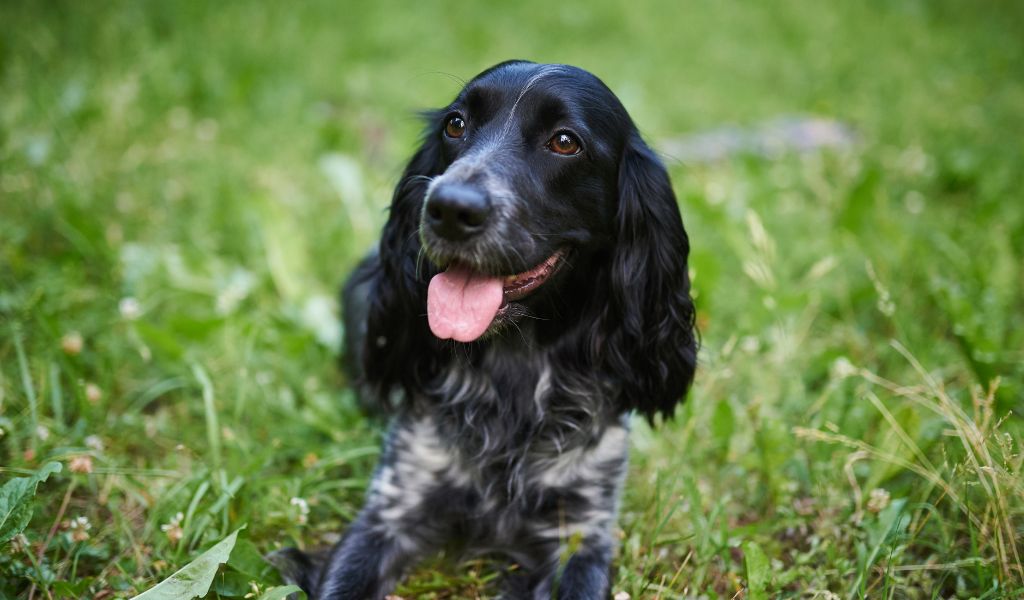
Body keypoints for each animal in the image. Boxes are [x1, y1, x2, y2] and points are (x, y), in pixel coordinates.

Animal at [276, 60, 700, 597]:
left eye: (565, 141)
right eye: (456, 125)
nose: (451, 208)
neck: (515, 368)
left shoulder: (582, 531)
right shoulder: (391, 510)